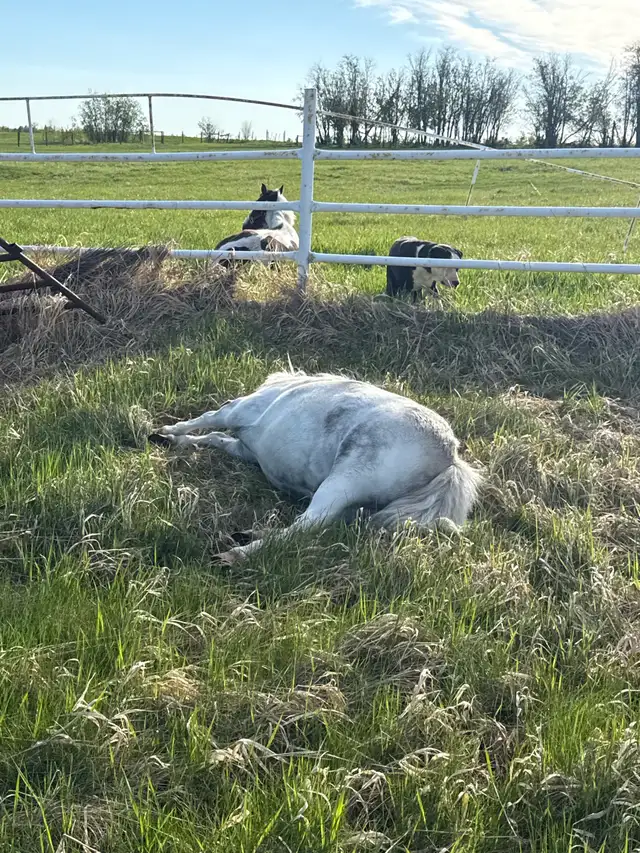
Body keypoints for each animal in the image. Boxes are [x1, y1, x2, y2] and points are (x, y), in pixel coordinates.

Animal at [148, 370, 482, 563]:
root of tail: (449, 457)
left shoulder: (238, 412)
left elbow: (208, 419)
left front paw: (166, 432)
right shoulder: (244, 450)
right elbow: (215, 438)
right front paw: (175, 440)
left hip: (343, 482)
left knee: (309, 525)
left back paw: (236, 553)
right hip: (358, 506)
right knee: (316, 526)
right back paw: (245, 536)